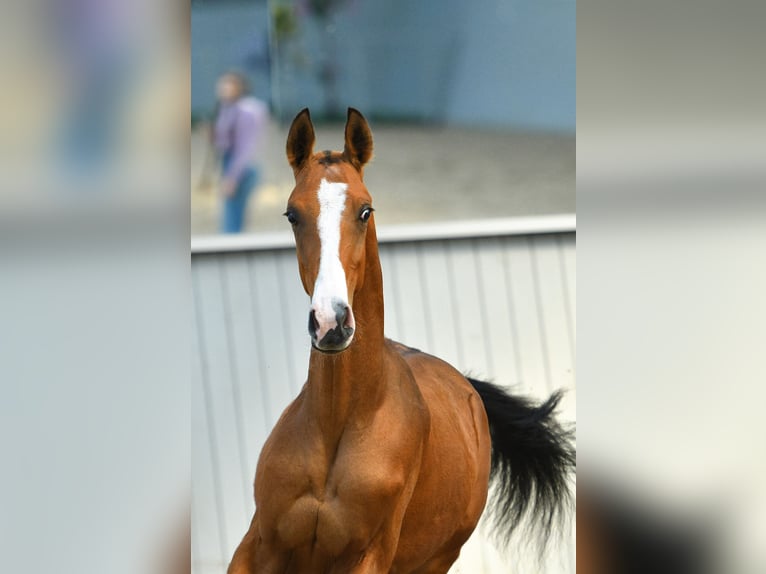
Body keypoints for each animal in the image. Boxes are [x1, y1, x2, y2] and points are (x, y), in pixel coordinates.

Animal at [228, 109, 576, 574]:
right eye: (291, 215)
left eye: (365, 210)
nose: (331, 323)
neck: (338, 423)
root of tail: (467, 389)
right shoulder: (259, 547)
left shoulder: (367, 558)